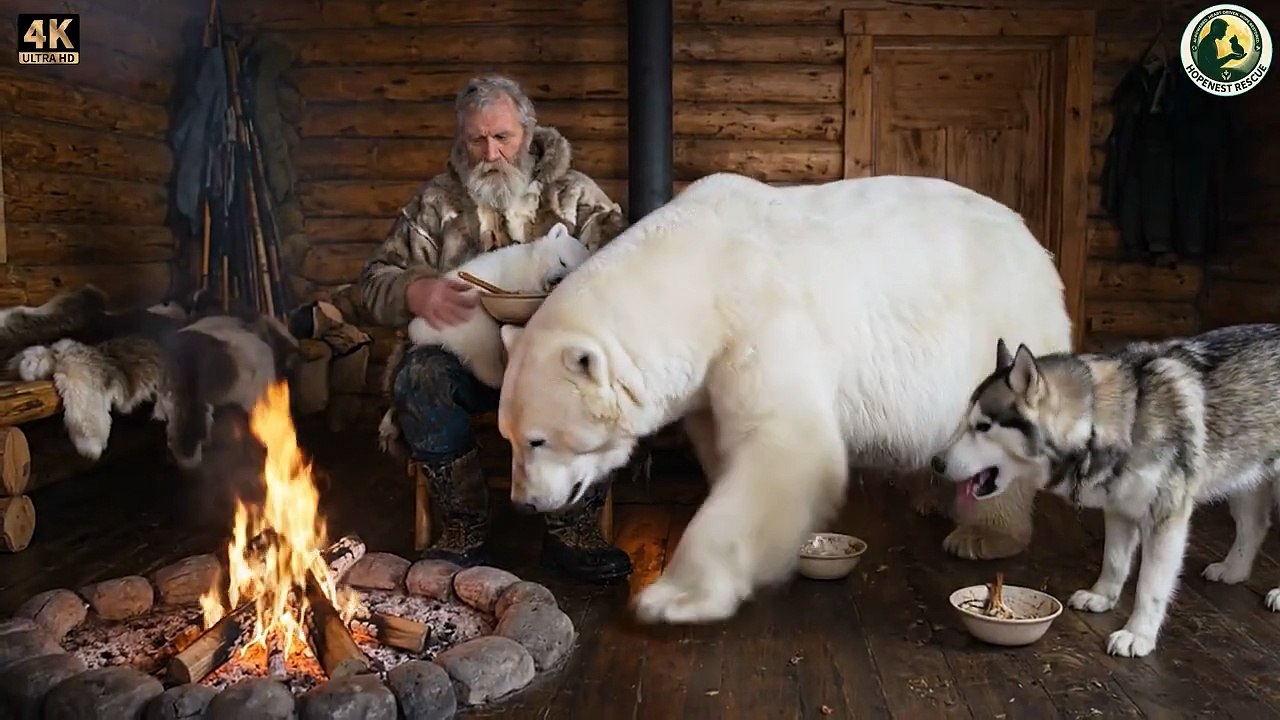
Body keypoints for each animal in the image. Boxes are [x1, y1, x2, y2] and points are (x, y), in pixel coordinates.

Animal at [494, 172, 1073, 624]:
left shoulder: (762, 316)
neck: (696, 273)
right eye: (508, 437)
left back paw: (983, 534)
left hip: (996, 326)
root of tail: (1036, 245)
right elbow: (723, 445)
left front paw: (674, 597)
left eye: (538, 439)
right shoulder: (707, 374)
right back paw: (931, 493)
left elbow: (783, 445)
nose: (523, 503)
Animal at [930, 327, 1280, 658]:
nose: (936, 463)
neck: (1102, 421)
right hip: (1245, 475)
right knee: (1255, 526)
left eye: (983, 427)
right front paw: (1102, 596)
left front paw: (1138, 634)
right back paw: (1233, 570)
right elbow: (1114, 560)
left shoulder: (1166, 517)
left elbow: (1150, 586)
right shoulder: (1119, 507)